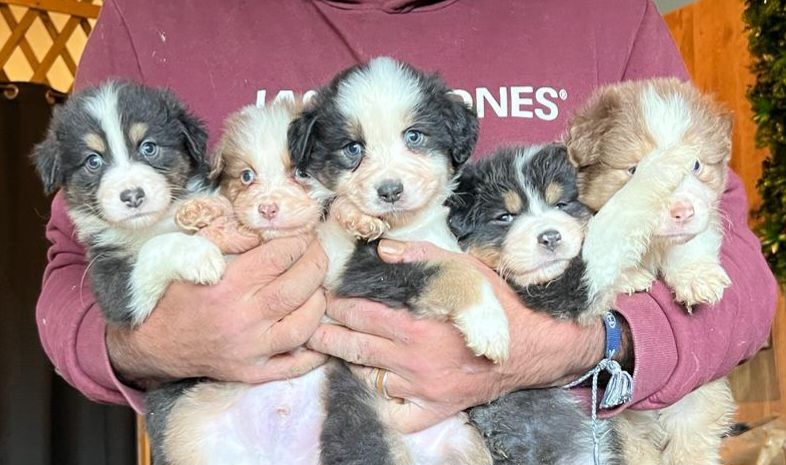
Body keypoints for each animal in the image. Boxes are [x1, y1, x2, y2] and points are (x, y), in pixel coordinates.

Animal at [284, 57, 500, 464]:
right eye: (353, 148)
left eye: (414, 136)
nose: (389, 191)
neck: (410, 226)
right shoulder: (356, 270)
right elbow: (455, 269)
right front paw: (489, 325)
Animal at [564, 78, 736, 462]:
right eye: (633, 171)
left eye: (696, 165)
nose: (682, 211)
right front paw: (629, 277)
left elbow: (693, 242)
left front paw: (697, 277)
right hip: (624, 431)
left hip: (696, 407)